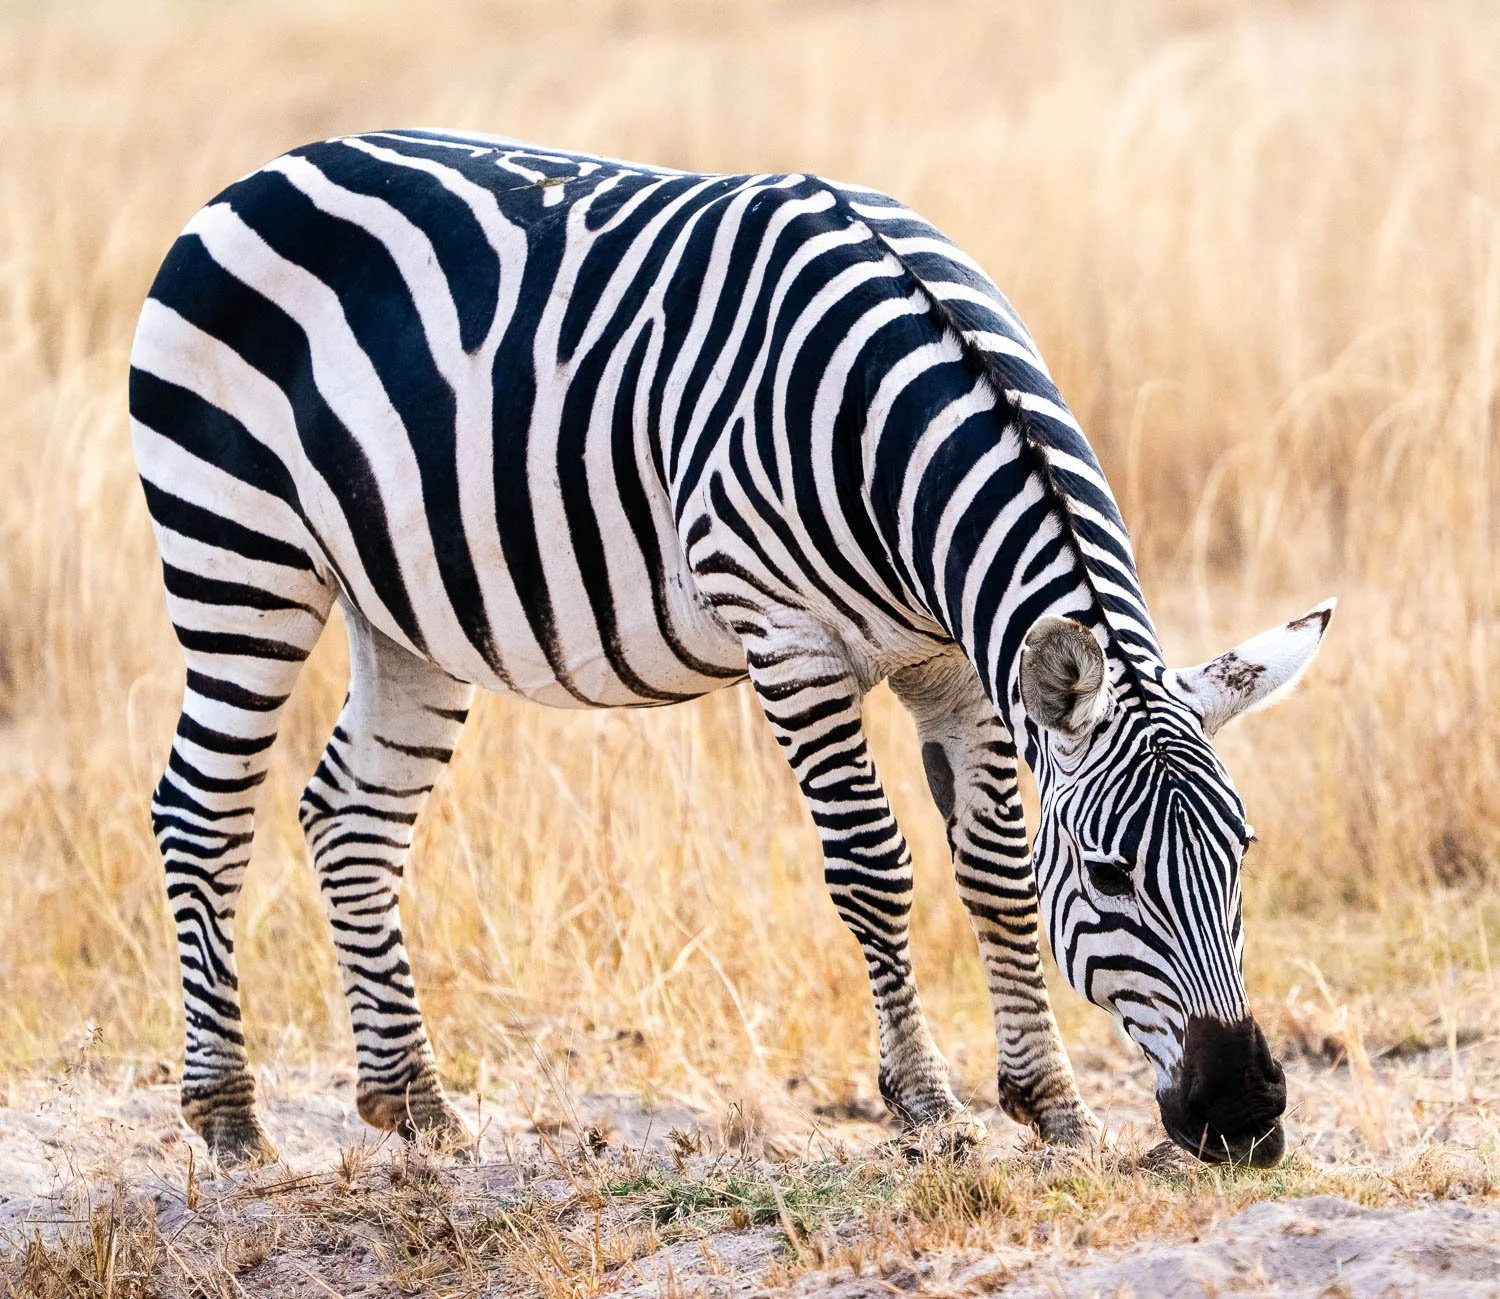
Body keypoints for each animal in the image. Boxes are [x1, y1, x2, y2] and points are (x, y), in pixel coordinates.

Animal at [130, 129, 1331, 1168]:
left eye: (1244, 852)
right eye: (1112, 874)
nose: (1243, 1115)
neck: (888, 432)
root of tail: (264, 172)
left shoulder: (956, 662)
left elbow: (993, 872)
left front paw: (1053, 1106)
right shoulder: (790, 642)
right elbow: (873, 868)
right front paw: (929, 1110)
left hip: (408, 609)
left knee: (350, 815)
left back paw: (415, 1104)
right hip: (238, 549)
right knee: (201, 809)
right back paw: (231, 1120)